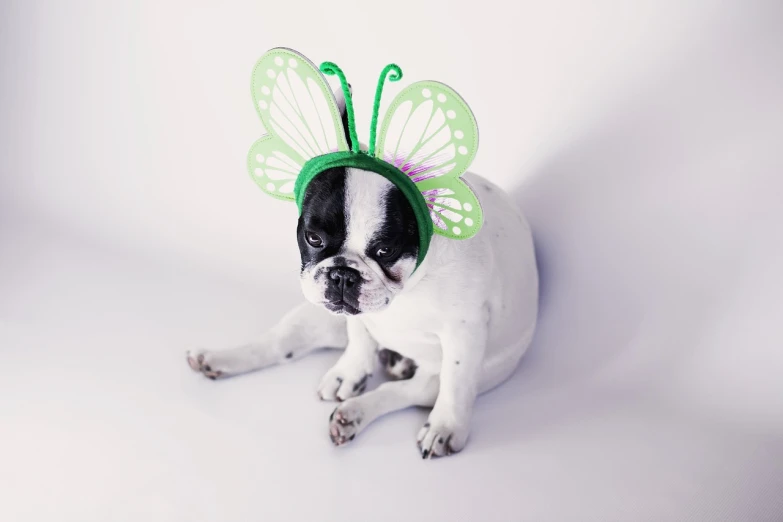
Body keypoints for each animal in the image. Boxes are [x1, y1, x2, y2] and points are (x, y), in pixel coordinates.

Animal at [188, 87, 540, 458]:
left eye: (386, 250)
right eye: (313, 238)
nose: (343, 274)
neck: (408, 288)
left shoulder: (465, 332)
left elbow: (455, 384)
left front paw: (446, 427)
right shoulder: (354, 315)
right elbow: (359, 338)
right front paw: (350, 371)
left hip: (459, 373)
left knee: (407, 391)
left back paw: (354, 415)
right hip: (317, 317)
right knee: (279, 343)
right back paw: (216, 358)